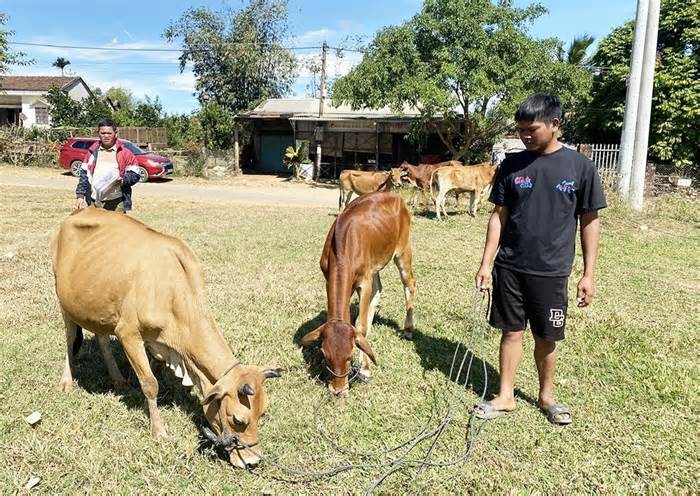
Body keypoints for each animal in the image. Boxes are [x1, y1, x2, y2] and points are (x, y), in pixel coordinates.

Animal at [52, 208, 282, 468]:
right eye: (238, 420)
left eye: (262, 414)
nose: (252, 460)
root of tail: (77, 212)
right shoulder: (128, 333)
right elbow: (150, 384)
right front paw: (159, 432)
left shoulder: (161, 344)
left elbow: (155, 370)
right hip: (63, 299)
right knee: (70, 338)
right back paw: (67, 381)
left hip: (99, 307)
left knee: (101, 339)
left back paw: (118, 379)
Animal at [300, 191, 416, 396]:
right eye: (325, 355)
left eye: (349, 356)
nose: (338, 390)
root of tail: (396, 196)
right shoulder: (329, 279)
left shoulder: (364, 281)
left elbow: (359, 326)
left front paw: (365, 369)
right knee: (379, 290)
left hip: (403, 250)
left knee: (409, 283)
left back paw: (408, 329)